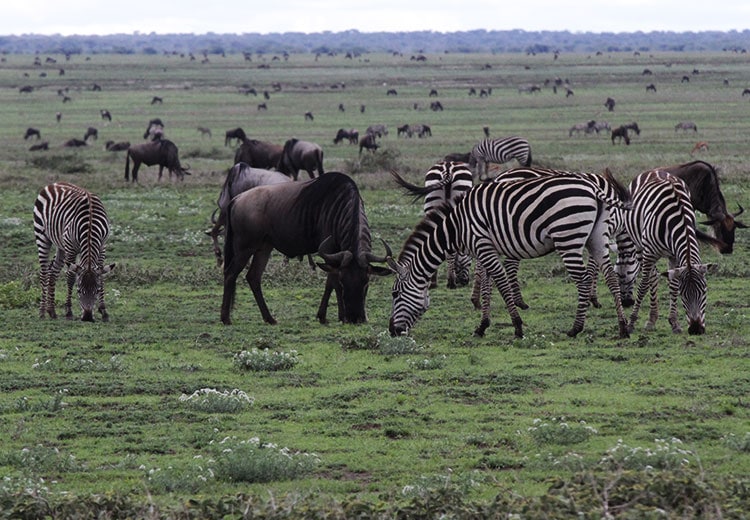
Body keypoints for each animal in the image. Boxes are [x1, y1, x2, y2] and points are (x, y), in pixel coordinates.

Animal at [33, 182, 115, 322]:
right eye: (79, 291)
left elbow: (101, 276)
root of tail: (54, 184)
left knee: (53, 271)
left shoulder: (102, 246)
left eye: (97, 291)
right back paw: (42, 312)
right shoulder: (71, 248)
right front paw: (69, 312)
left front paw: (104, 311)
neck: (90, 225)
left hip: (61, 246)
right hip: (42, 235)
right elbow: (71, 278)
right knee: (44, 272)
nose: (87, 317)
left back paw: (52, 311)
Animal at [387, 173, 631, 339]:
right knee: (610, 277)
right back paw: (623, 327)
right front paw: (482, 326)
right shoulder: (484, 250)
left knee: (583, 280)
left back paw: (575, 328)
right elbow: (487, 286)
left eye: (395, 294)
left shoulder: (482, 245)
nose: (392, 331)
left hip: (568, 237)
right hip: (597, 237)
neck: (456, 226)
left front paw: (517, 326)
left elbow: (501, 284)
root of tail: (593, 187)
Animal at [615, 170, 720, 335]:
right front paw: (631, 323)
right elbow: (643, 286)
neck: (679, 219)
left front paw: (675, 323)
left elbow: (674, 285)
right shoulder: (649, 253)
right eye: (684, 295)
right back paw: (651, 320)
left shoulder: (675, 255)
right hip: (639, 246)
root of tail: (654, 170)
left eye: (704, 291)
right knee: (651, 277)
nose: (696, 329)